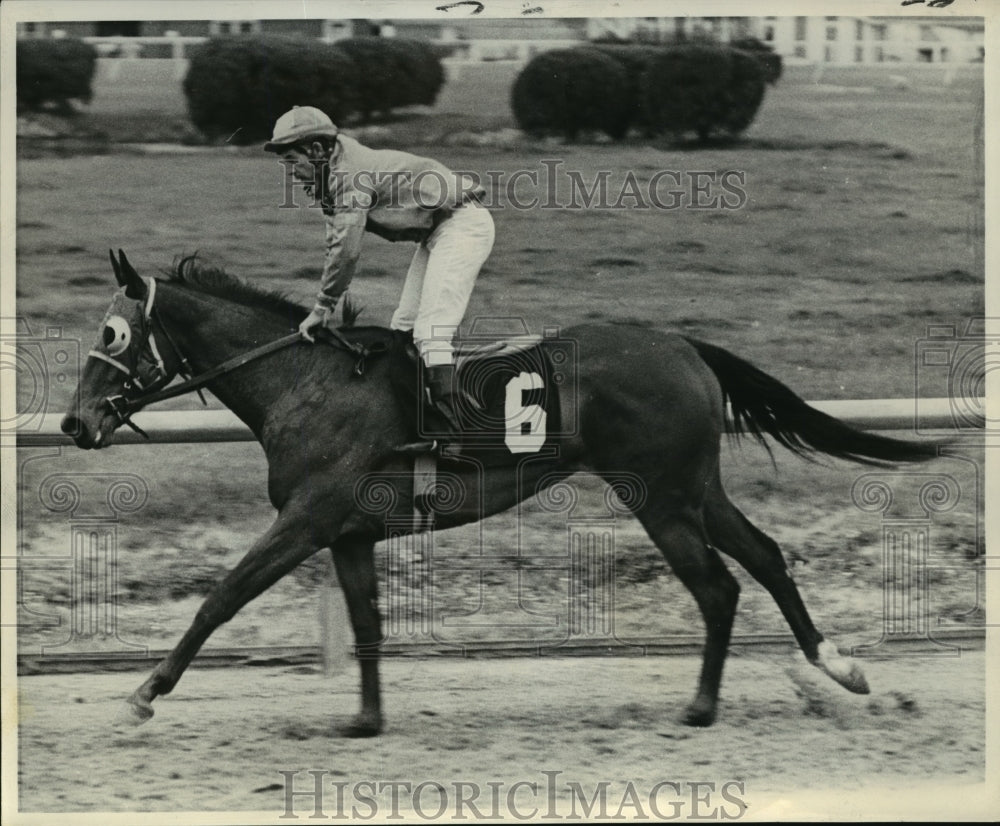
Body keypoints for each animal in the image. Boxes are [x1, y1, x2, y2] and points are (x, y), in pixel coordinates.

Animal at [60, 251, 936, 732]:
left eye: (111, 334)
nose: (74, 422)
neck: (302, 381)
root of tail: (683, 343)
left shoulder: (308, 518)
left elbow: (222, 598)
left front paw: (143, 692)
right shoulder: (348, 532)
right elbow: (367, 624)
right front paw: (366, 718)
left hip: (660, 494)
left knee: (718, 587)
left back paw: (702, 706)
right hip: (693, 487)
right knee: (763, 555)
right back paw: (838, 667)